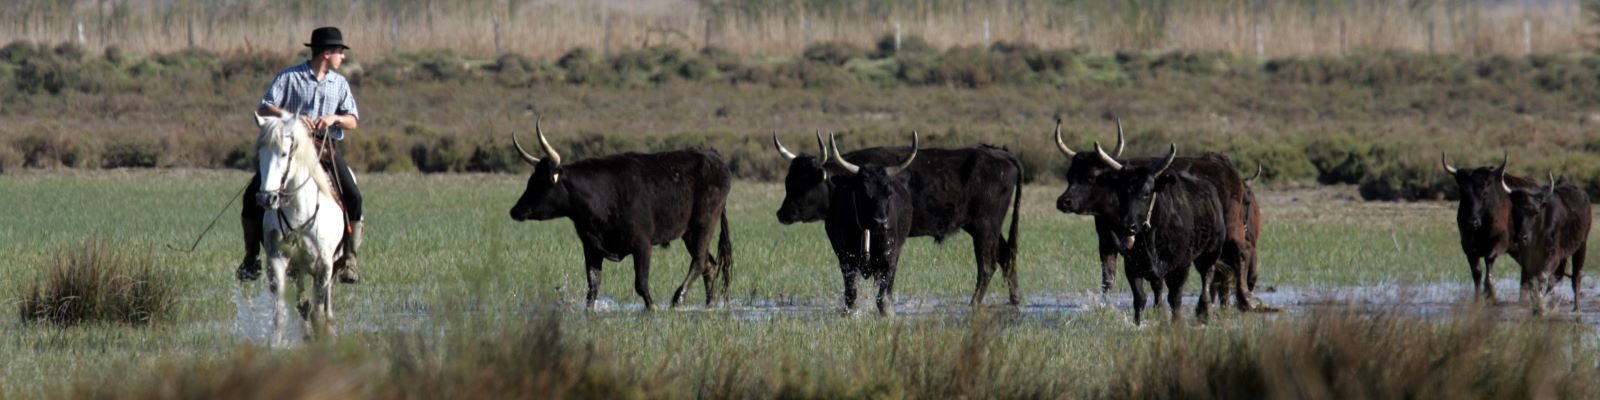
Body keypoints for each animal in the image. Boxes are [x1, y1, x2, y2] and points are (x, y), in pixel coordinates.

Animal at [254, 112, 345, 340]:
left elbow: (318, 315)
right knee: (302, 305)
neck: (298, 212)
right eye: (260, 155)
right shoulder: (277, 261)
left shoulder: (324, 267)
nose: (266, 198)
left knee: (324, 307)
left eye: (284, 154)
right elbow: (280, 315)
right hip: (298, 269)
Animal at [774, 132, 1024, 304]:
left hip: (985, 226)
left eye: (804, 182)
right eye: (788, 180)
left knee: (987, 265)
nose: (782, 214)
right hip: (985, 228)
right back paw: (1015, 299)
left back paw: (974, 304)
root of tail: (999, 152)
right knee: (1006, 256)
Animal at [1440, 151, 1536, 300]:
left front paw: (1490, 290)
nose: (1471, 222)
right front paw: (1478, 298)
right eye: (1463, 192)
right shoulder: (1468, 247)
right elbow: (1476, 272)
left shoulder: (1501, 242)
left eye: (1485, 192)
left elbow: (1489, 259)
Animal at [1497, 175, 1587, 315]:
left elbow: (1541, 276)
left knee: (1576, 277)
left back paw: (1576, 308)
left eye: (1535, 212)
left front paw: (1541, 305)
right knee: (1556, 277)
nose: (1521, 237)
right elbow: (1532, 280)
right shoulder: (1527, 256)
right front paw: (1537, 304)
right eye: (1515, 212)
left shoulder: (1553, 254)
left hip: (1581, 246)